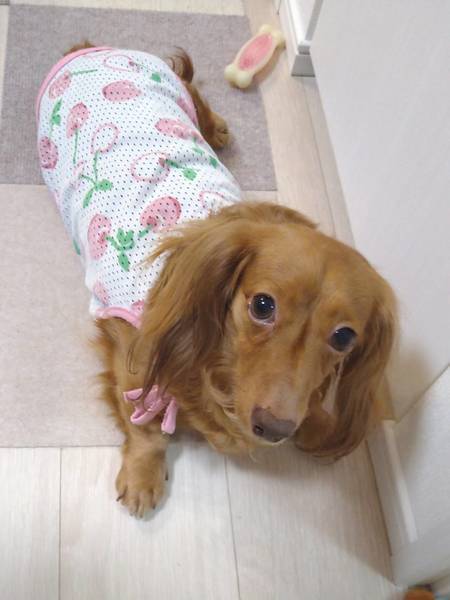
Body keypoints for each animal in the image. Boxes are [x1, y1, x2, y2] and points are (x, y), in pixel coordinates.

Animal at [37, 45, 396, 517]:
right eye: (262, 305)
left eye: (344, 337)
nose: (275, 428)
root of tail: (93, 49)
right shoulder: (131, 355)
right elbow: (145, 422)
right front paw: (143, 473)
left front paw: (319, 422)